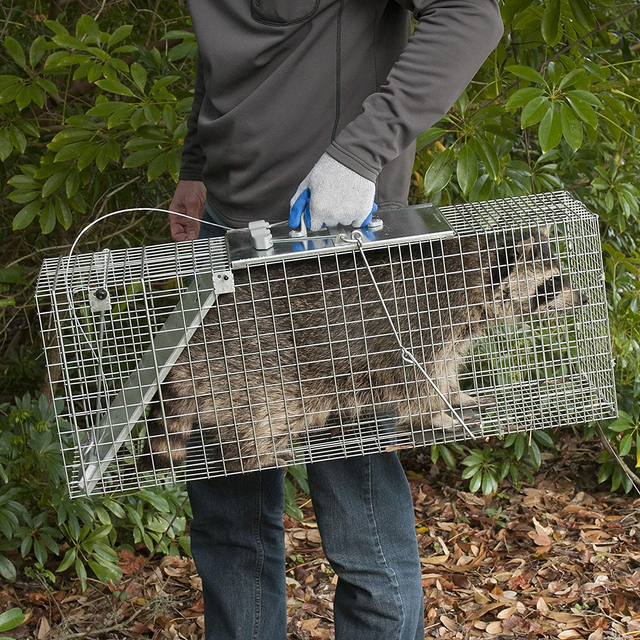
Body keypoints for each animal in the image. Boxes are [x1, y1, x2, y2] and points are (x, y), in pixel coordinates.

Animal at [139, 229, 587, 473]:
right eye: (553, 283)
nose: (582, 297)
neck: (471, 279)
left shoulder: (455, 334)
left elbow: (443, 372)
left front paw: (455, 395)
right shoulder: (416, 326)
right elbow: (413, 382)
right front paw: (437, 414)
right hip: (247, 362)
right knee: (261, 413)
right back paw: (252, 454)